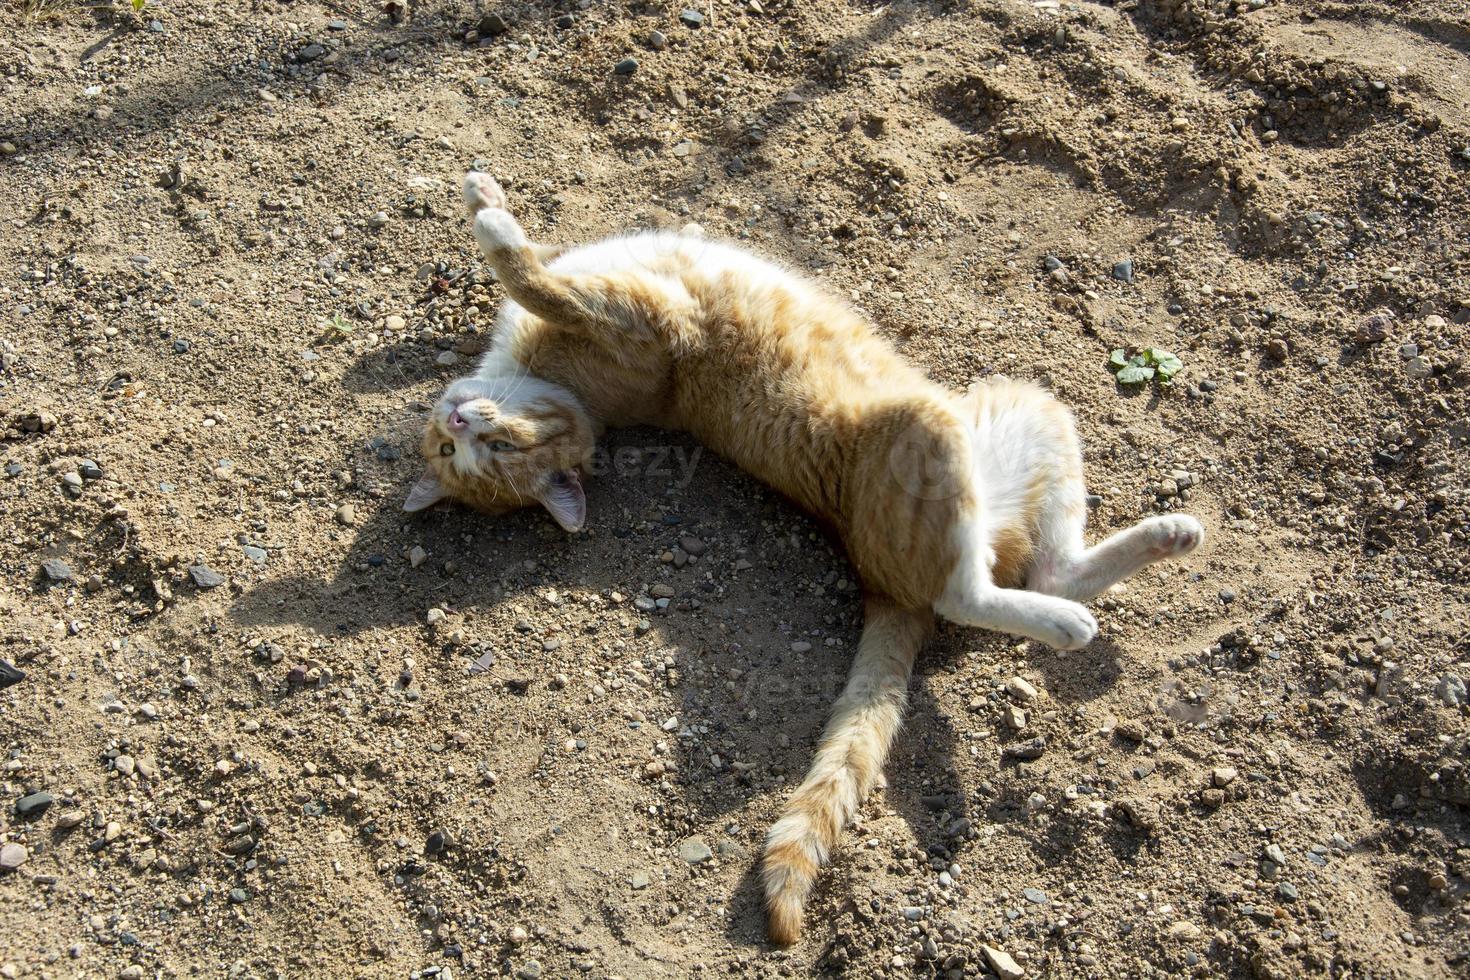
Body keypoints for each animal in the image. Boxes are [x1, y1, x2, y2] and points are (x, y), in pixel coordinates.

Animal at [405, 172, 1205, 946]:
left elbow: (536, 268)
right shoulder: (638, 315)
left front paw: (485, 200)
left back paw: (1169, 535)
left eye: (488, 446)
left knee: (1051, 568)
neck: (556, 382)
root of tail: (880, 580)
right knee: (971, 595)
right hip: (934, 434)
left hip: (1029, 406)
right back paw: (1068, 622)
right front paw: (496, 228)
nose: (457, 421)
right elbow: (534, 277)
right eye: (459, 453)